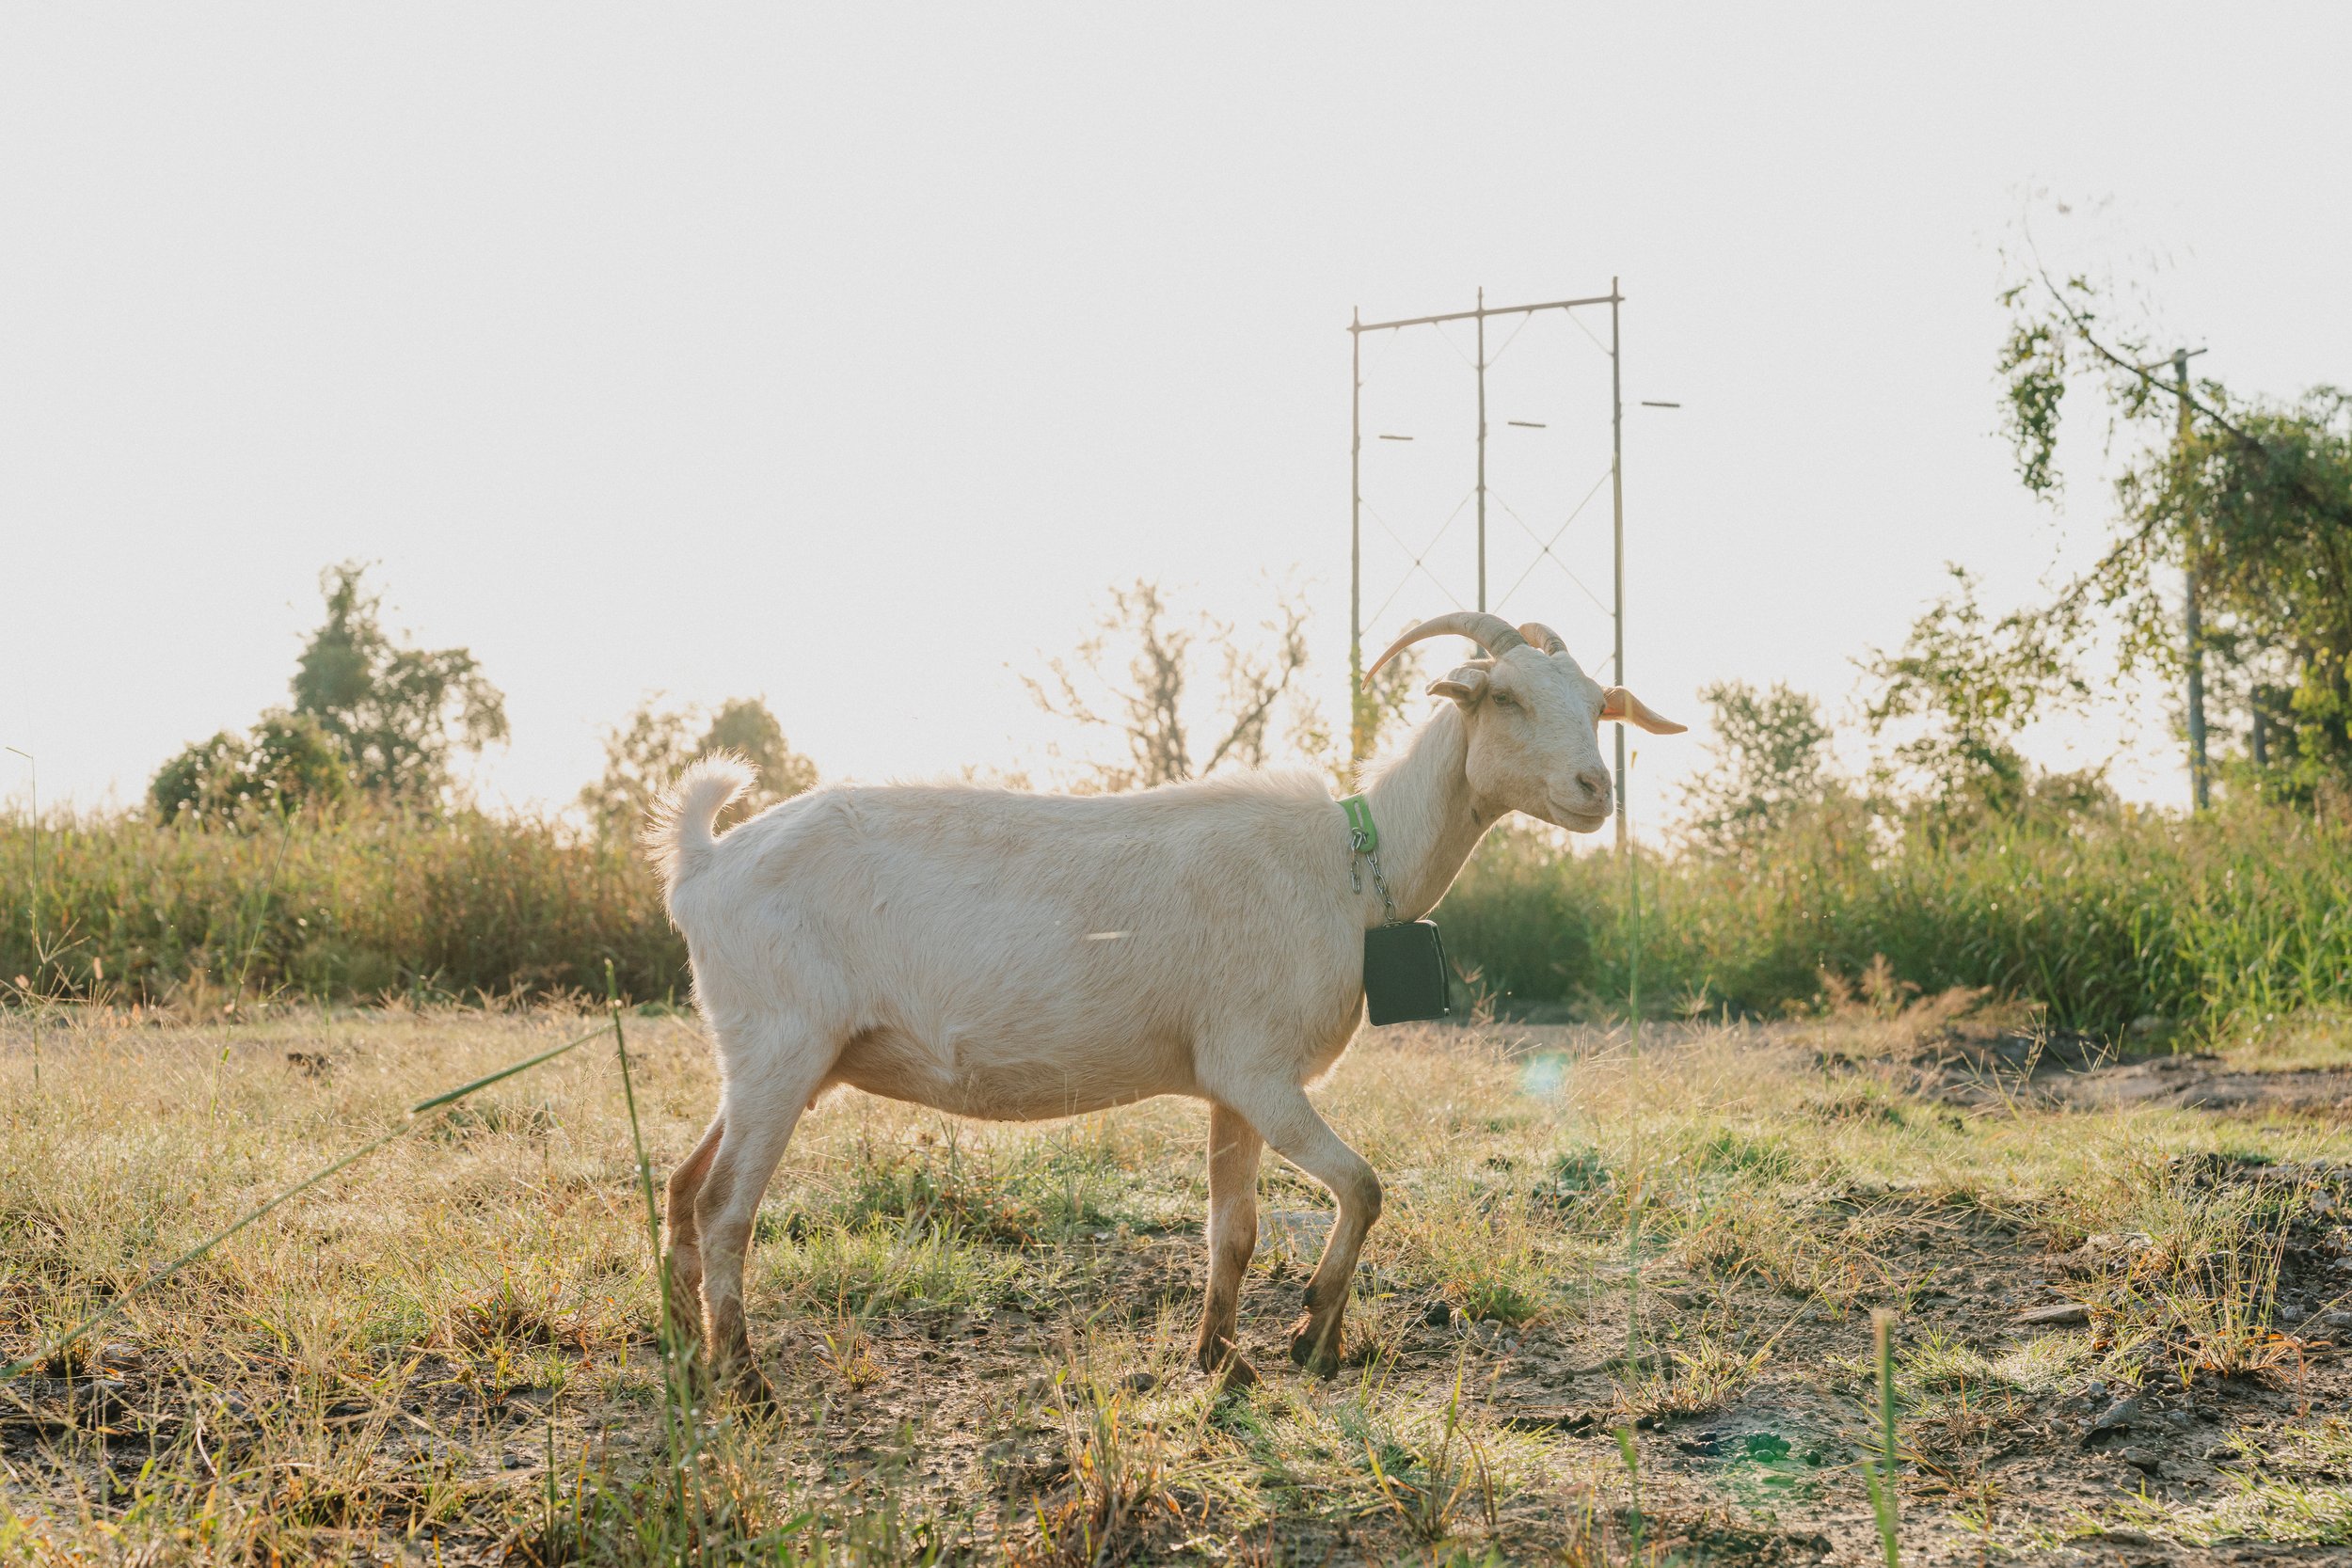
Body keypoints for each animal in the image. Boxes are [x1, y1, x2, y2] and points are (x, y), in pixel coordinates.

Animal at [650, 611, 1684, 1398]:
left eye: (1598, 703)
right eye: (1503, 696)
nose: (1595, 789)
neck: (1352, 863)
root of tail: (705, 862)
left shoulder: (1229, 1081)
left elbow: (1235, 1229)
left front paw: (1222, 1358)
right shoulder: (1261, 1069)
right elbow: (1364, 1185)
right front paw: (1311, 1333)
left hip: (765, 1059)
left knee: (681, 1184)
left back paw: (684, 1350)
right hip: (782, 1046)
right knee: (725, 1204)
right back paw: (745, 1381)